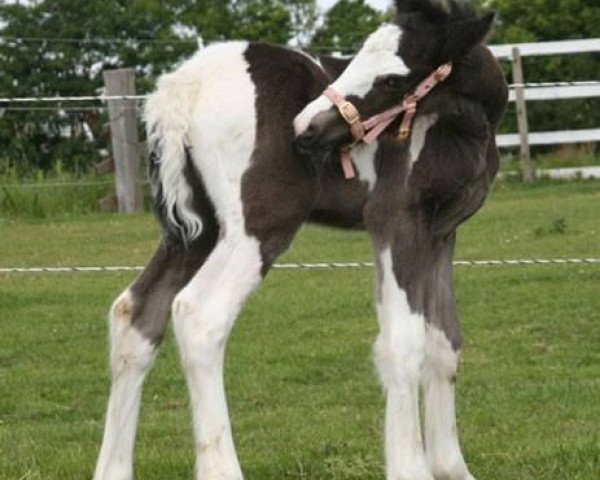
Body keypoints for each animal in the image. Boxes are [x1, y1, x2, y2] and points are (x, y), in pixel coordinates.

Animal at [92, 0, 506, 480]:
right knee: (198, 314)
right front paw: (410, 468)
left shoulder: (442, 232)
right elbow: (403, 343)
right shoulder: (395, 221)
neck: (464, 128)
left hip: (195, 234)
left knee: (135, 314)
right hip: (258, 228)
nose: (307, 127)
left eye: (391, 79)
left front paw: (451, 467)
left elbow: (445, 343)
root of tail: (182, 88)